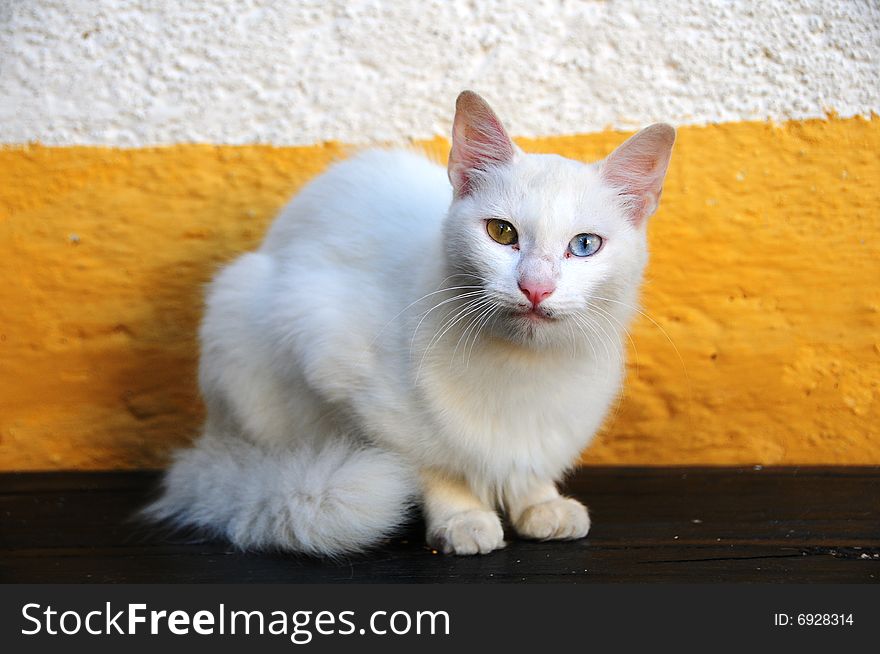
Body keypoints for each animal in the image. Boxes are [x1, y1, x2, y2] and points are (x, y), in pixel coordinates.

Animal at [150, 92, 672, 560]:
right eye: (501, 232)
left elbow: (524, 467)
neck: (523, 367)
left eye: (584, 245)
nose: (535, 288)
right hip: (241, 323)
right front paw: (463, 517)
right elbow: (433, 467)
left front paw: (539, 503)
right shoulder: (345, 374)